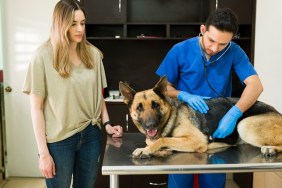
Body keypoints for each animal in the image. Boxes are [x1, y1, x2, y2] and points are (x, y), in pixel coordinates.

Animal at [119, 75, 282, 158]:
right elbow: (159, 141)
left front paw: (146, 149)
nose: (150, 125)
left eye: (155, 105)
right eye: (139, 107)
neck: (172, 116)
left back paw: (271, 149)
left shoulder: (195, 139)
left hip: (244, 125)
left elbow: (163, 140)